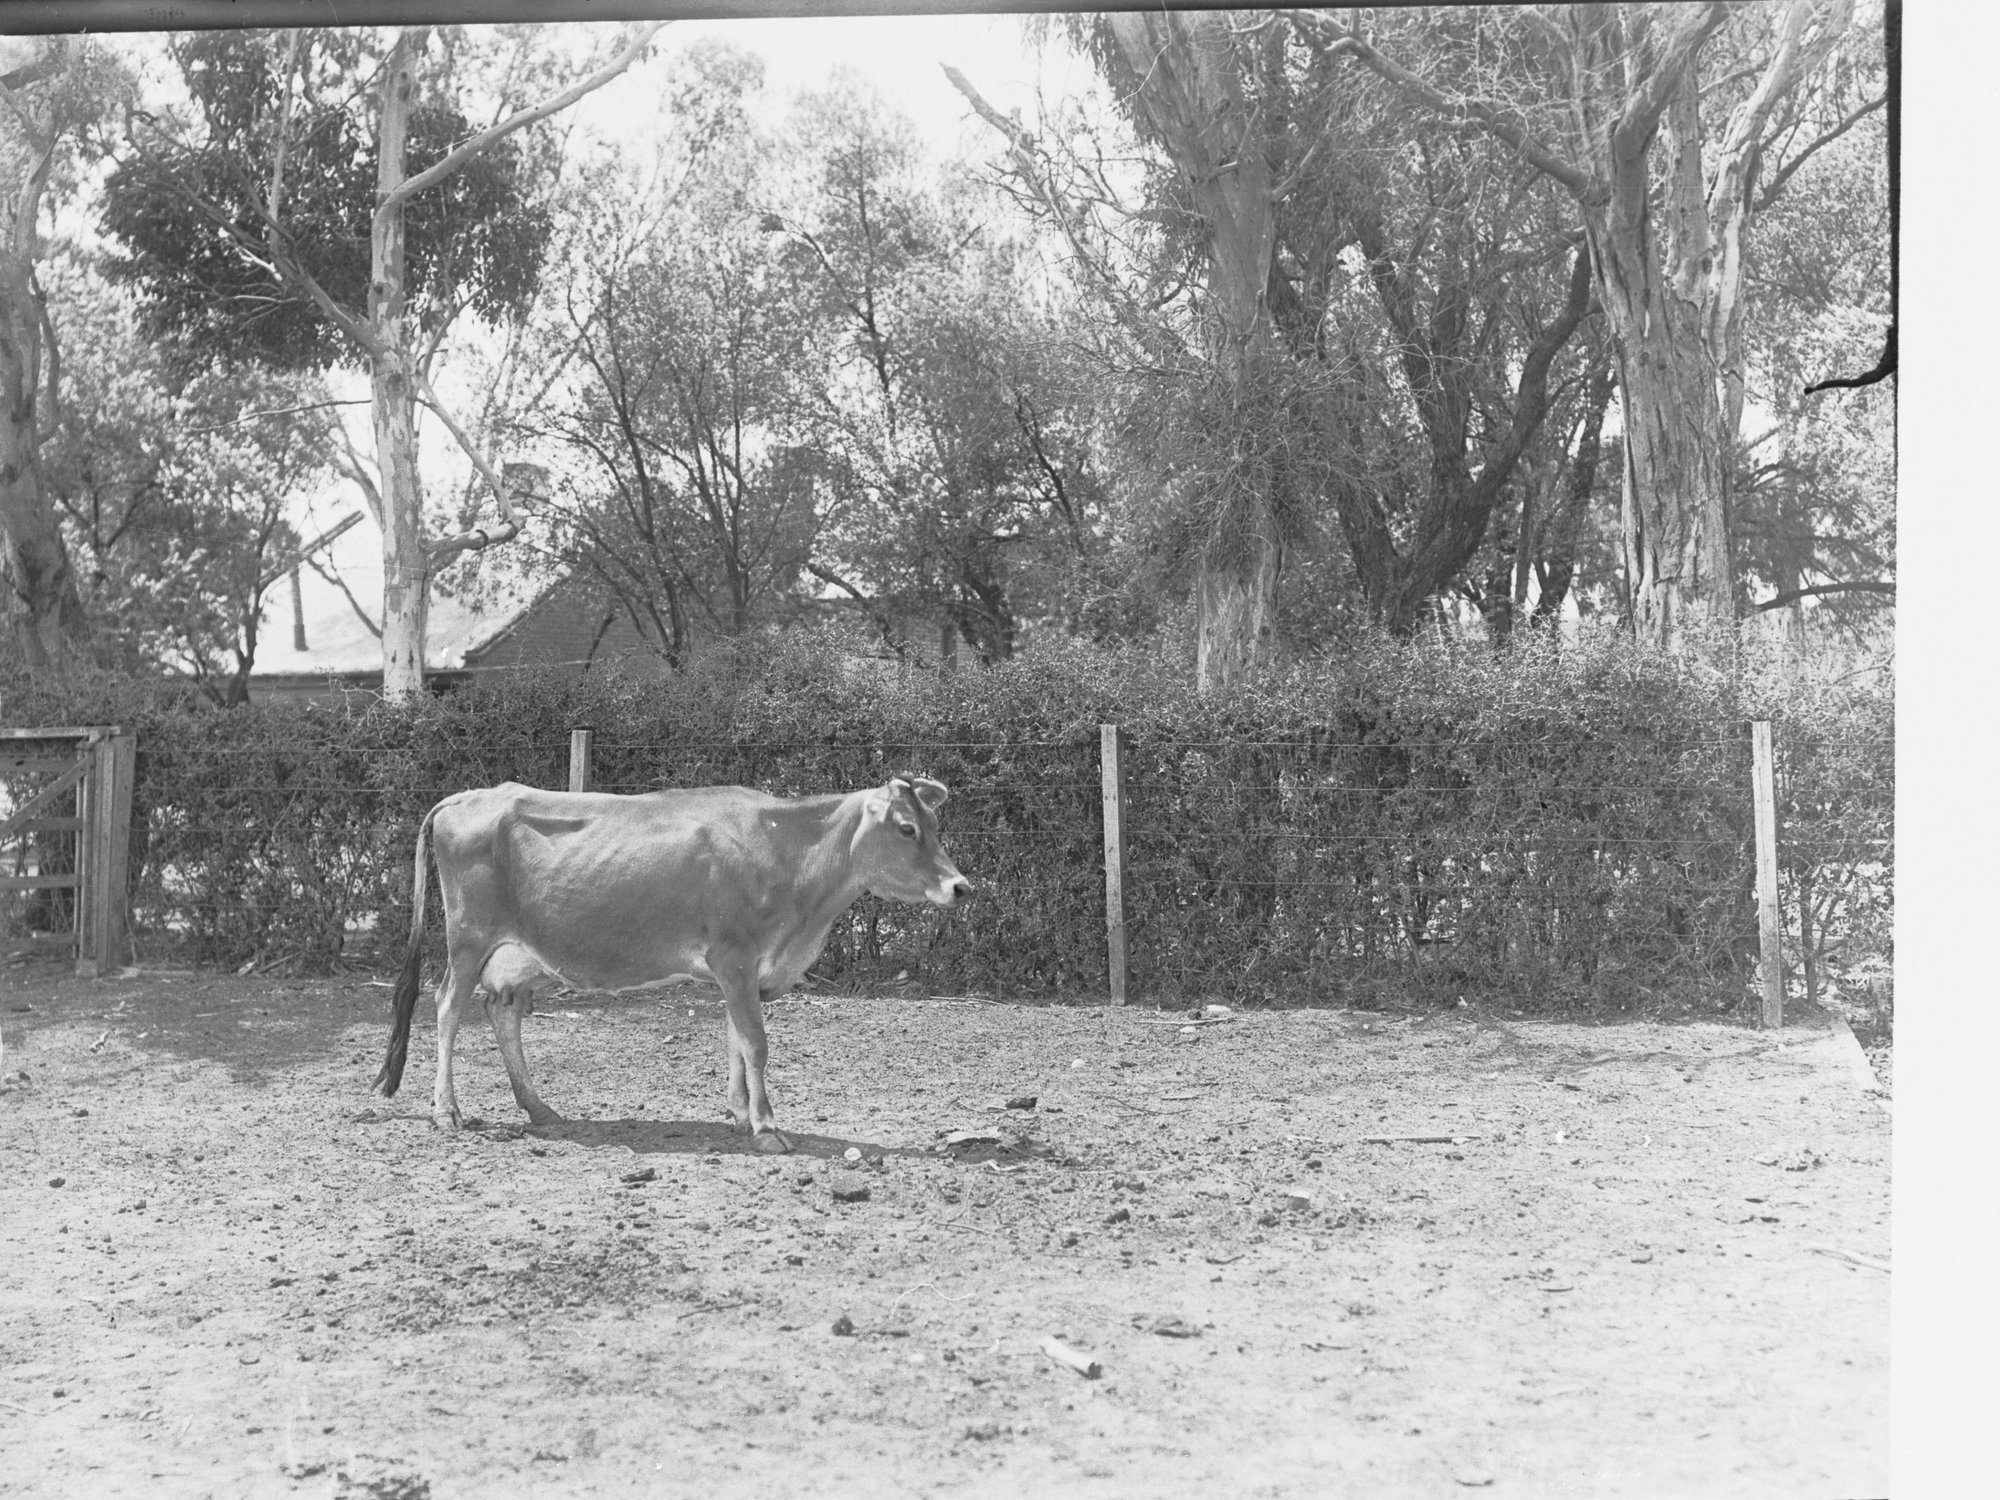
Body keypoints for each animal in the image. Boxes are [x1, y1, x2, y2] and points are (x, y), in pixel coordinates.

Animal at [373, 775, 970, 1151]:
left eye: (937, 825)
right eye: (907, 828)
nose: (961, 887)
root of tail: (468, 795)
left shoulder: (743, 971)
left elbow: (735, 1040)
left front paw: (740, 1115)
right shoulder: (734, 956)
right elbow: (755, 1044)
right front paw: (766, 1127)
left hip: (518, 955)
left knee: (502, 1012)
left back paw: (539, 1108)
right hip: (468, 939)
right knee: (447, 1009)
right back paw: (446, 1111)